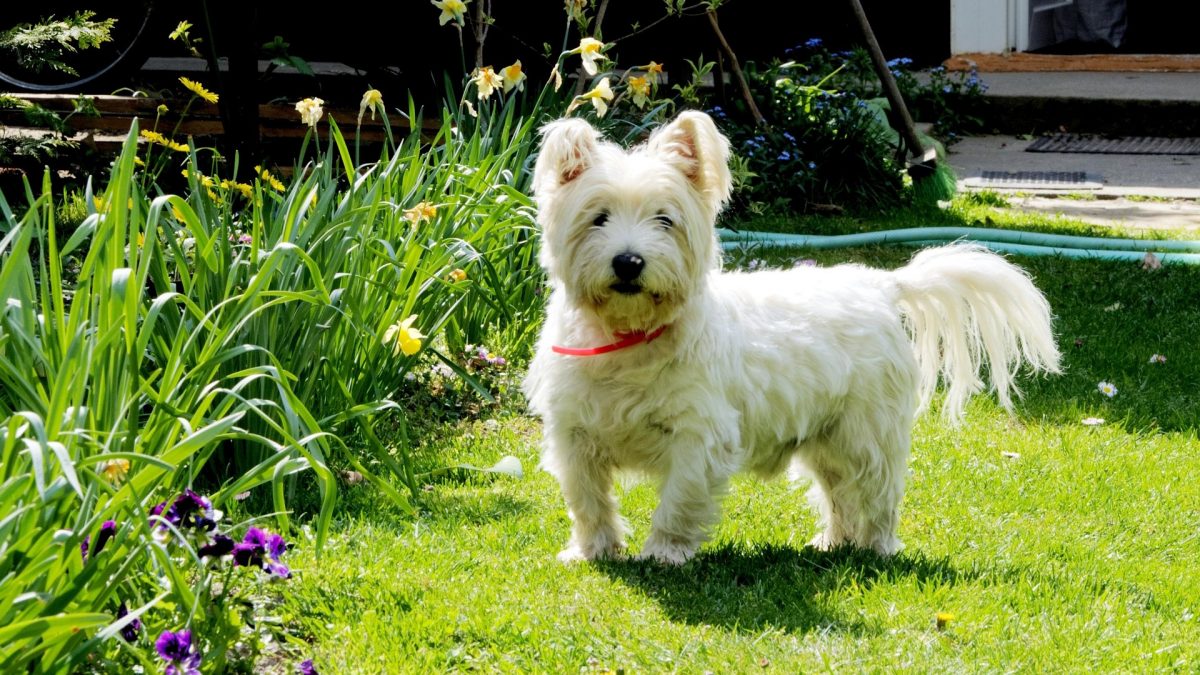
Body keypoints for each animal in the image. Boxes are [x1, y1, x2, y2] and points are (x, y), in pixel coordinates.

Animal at [525, 110, 1060, 562]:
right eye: (598, 217)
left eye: (665, 220)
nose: (629, 262)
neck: (629, 337)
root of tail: (882, 284)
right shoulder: (574, 435)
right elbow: (588, 500)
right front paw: (592, 552)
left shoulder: (698, 436)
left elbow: (678, 499)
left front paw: (664, 554)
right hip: (826, 439)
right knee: (838, 493)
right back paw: (833, 543)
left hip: (867, 433)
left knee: (877, 493)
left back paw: (876, 549)